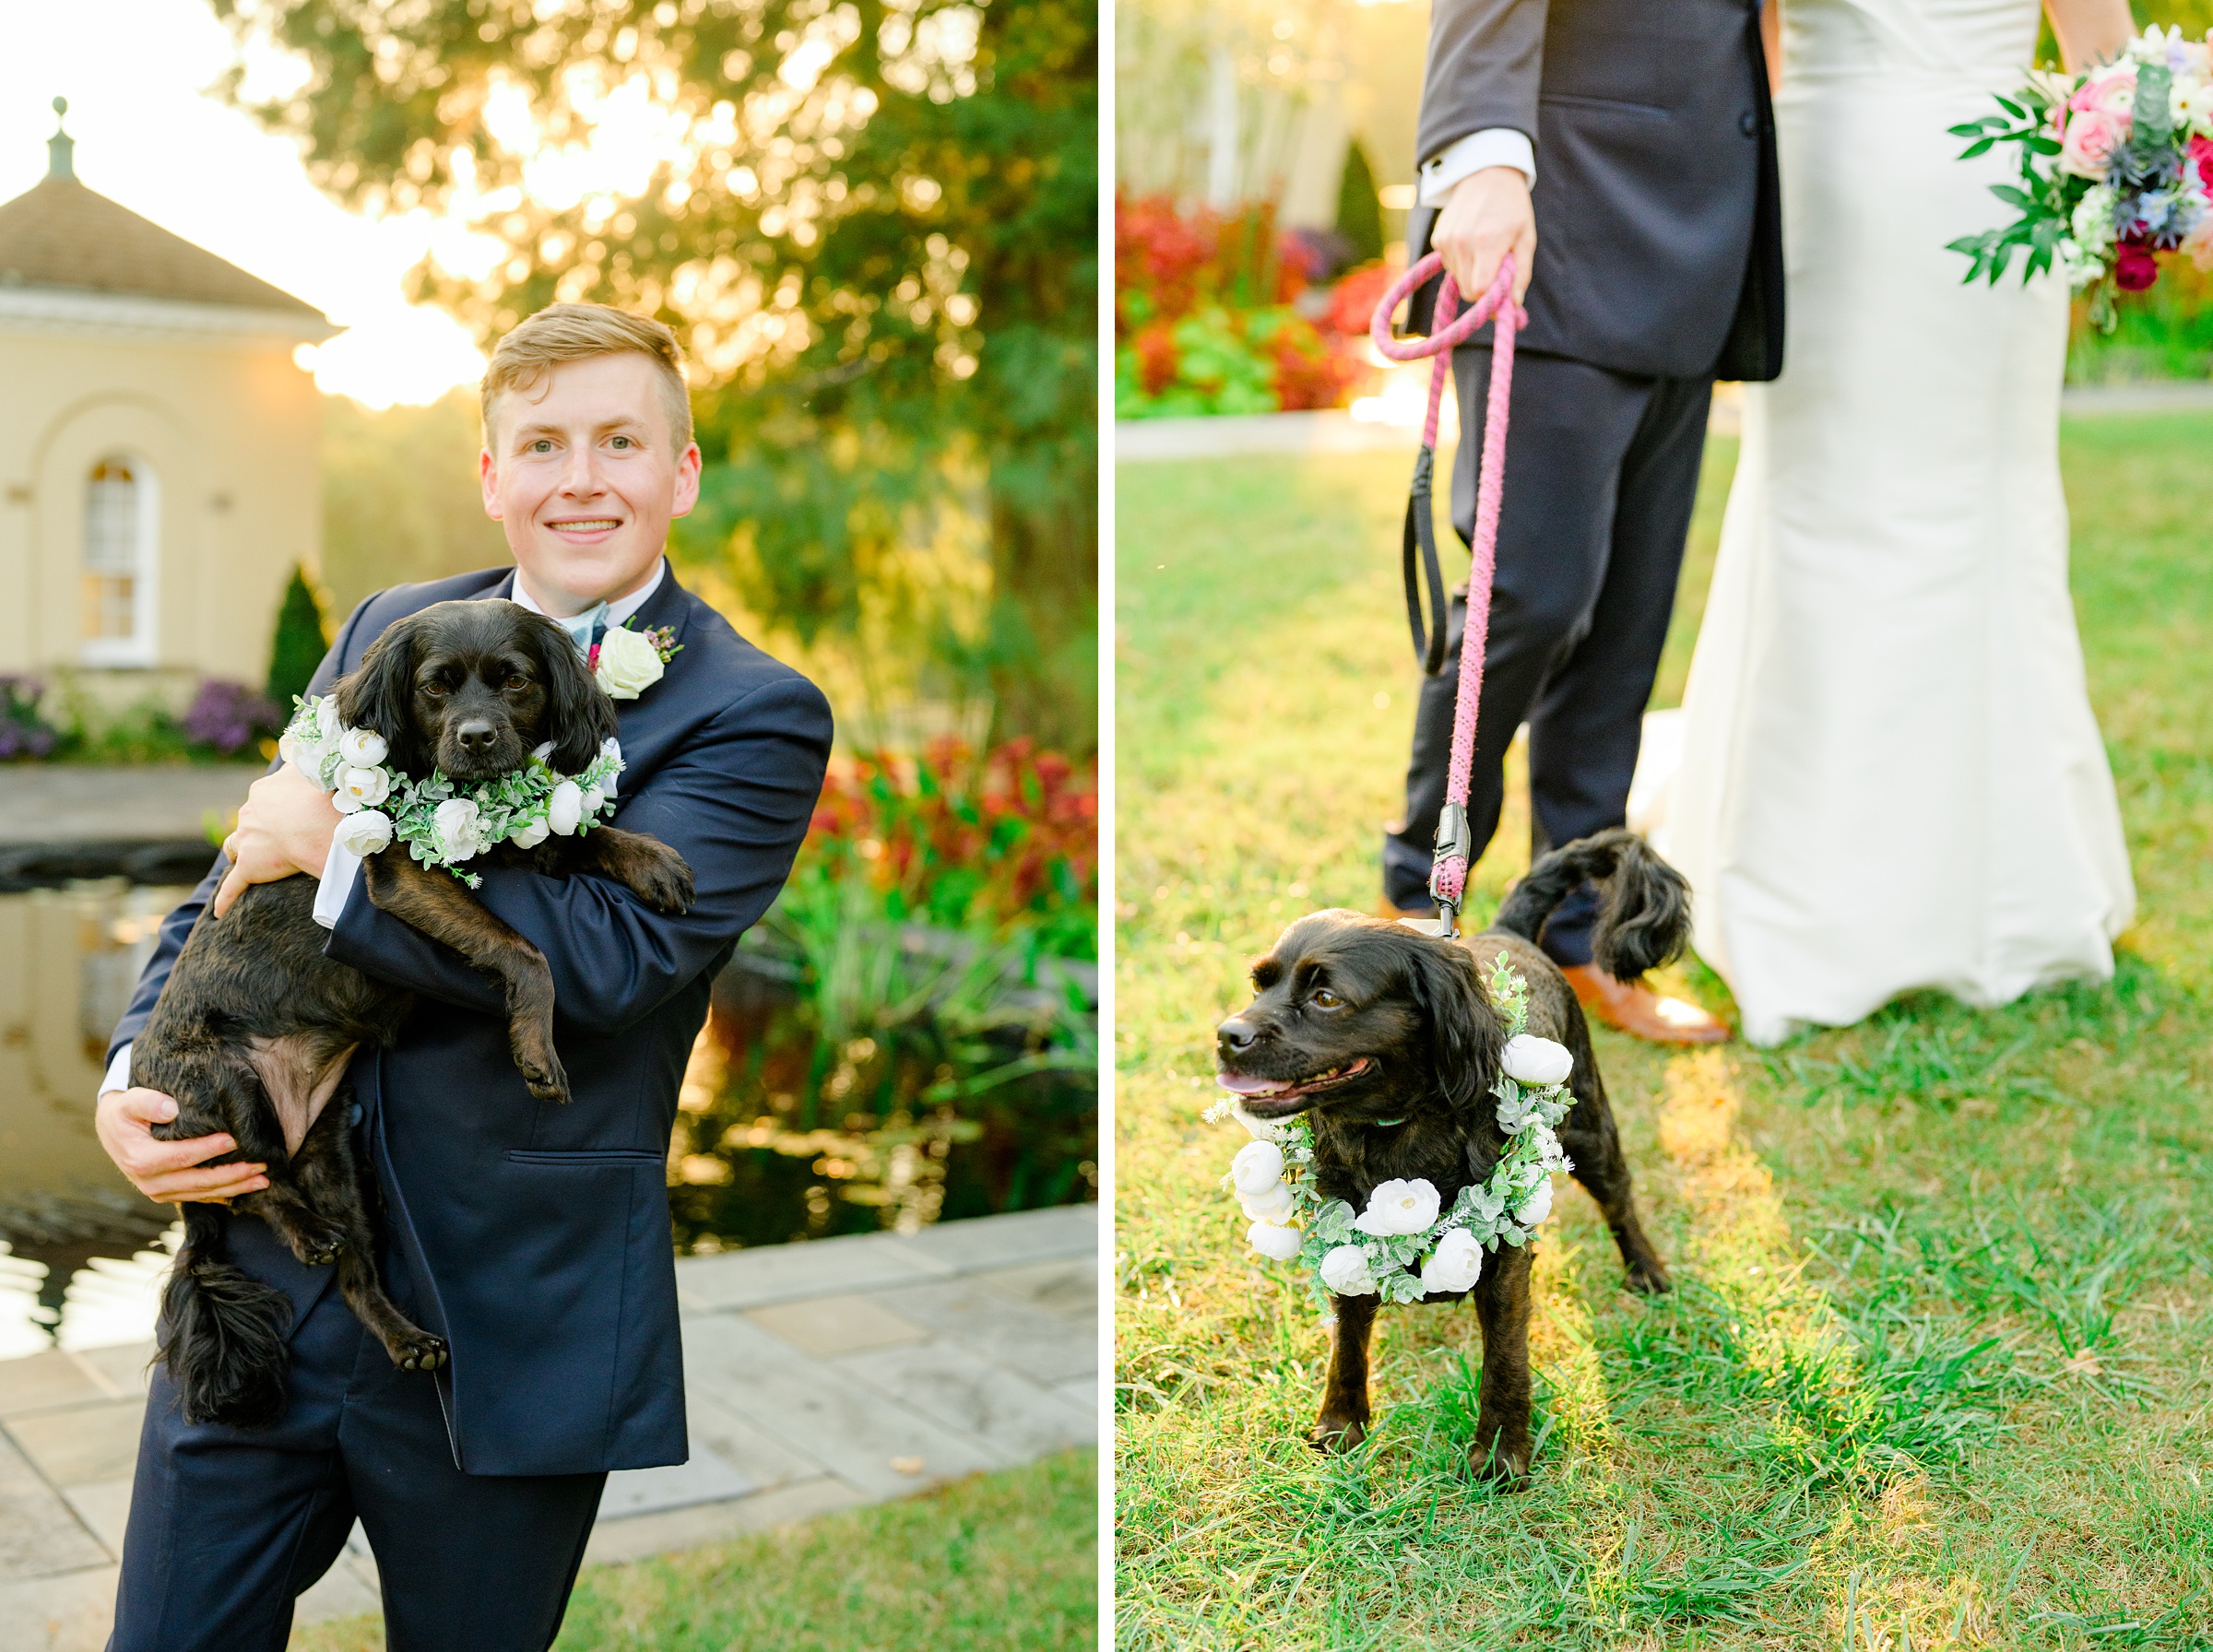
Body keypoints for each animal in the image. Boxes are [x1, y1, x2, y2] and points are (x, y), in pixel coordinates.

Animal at [138, 601, 690, 1423]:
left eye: (514, 681)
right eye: (436, 686)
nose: (478, 738)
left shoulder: (516, 850)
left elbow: (582, 832)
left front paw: (650, 858)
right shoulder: (408, 876)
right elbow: (527, 952)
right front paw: (536, 1051)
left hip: (339, 1161)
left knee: (352, 1270)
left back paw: (405, 1338)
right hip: (225, 1087)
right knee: (252, 1181)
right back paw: (304, 1232)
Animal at [1221, 831, 1682, 1477]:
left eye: (1327, 997)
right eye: (1259, 985)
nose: (1226, 1036)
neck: (1398, 1129)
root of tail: (1510, 932)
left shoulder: (1507, 1262)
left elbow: (1505, 1358)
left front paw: (1501, 1452)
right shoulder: (1344, 1240)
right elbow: (1347, 1343)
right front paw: (1342, 1424)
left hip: (1592, 1129)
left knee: (1619, 1200)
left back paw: (1646, 1271)